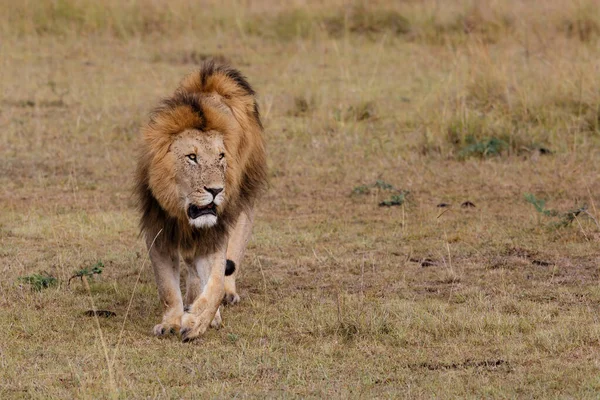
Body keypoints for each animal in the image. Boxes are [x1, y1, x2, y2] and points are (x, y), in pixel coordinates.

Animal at [137, 61, 268, 342]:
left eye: (220, 156)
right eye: (192, 157)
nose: (216, 190)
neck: (183, 214)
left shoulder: (216, 232)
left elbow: (215, 284)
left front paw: (197, 322)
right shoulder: (158, 230)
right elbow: (167, 287)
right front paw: (172, 322)